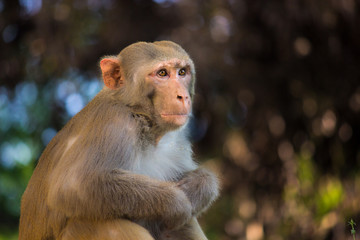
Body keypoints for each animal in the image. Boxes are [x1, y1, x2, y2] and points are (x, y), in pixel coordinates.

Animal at [21, 40, 221, 239]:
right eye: (162, 73)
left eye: (182, 72)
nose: (183, 96)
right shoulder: (115, 124)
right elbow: (75, 184)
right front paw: (177, 203)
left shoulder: (176, 141)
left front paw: (199, 186)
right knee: (106, 223)